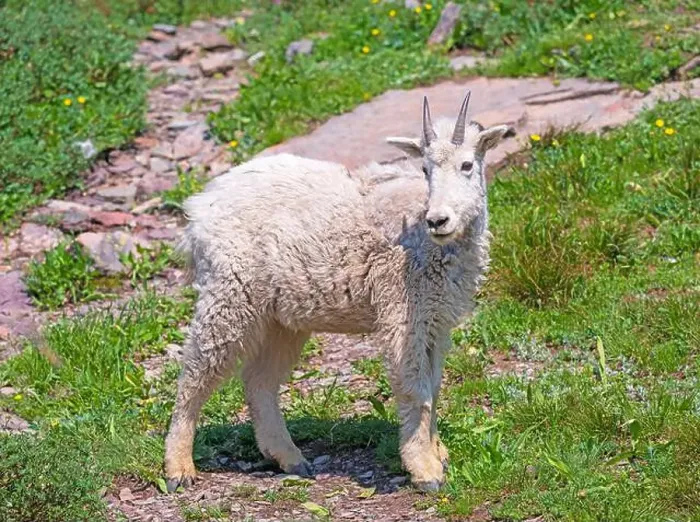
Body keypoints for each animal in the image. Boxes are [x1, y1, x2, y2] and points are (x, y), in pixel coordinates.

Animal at [165, 91, 514, 492]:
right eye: (425, 169)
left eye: (468, 165)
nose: (438, 219)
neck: (428, 239)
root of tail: (197, 211)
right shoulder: (403, 311)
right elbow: (416, 388)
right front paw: (425, 470)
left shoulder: (435, 320)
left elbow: (435, 385)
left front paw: (438, 451)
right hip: (229, 293)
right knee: (195, 371)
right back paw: (178, 467)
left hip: (280, 318)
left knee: (259, 381)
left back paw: (289, 457)